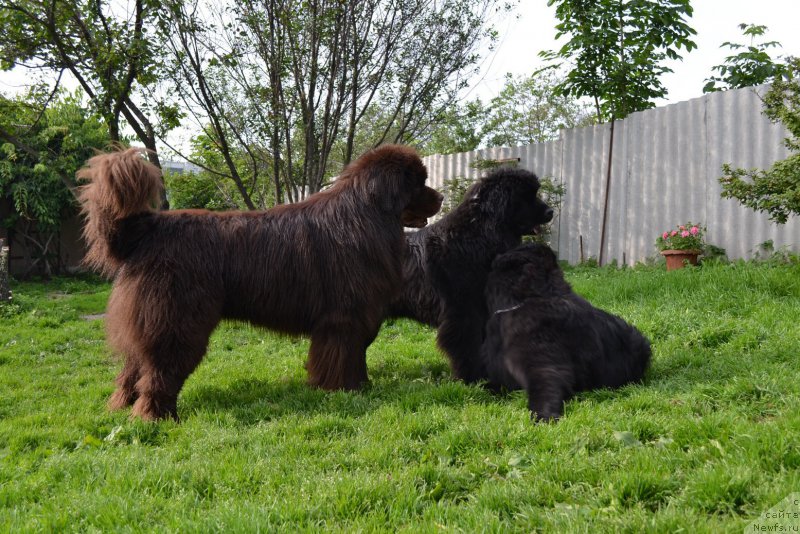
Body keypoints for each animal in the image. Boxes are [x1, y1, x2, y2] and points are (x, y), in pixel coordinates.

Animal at [79, 144, 444, 420]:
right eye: (419, 182)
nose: (441, 198)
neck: (367, 215)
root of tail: (148, 229)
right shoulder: (343, 320)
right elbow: (343, 358)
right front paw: (346, 391)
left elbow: (354, 357)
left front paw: (357, 386)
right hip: (178, 322)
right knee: (158, 372)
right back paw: (156, 416)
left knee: (132, 369)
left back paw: (120, 408)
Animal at [390, 170, 552, 384]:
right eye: (527, 196)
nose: (551, 212)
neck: (478, 236)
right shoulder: (463, 312)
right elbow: (468, 345)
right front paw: (475, 379)